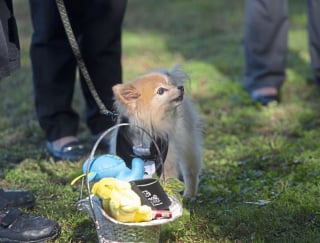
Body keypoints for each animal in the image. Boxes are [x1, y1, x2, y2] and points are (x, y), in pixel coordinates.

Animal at [111, 66, 204, 197]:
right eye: (161, 91)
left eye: (169, 84)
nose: (180, 87)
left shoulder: (166, 163)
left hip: (188, 144)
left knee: (191, 171)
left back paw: (189, 194)